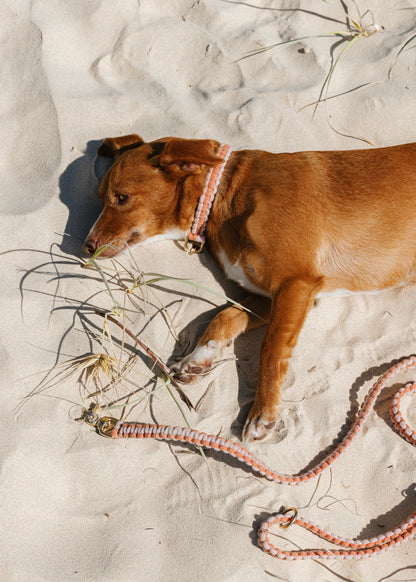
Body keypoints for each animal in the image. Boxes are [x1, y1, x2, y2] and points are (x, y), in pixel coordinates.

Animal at [83, 133, 416, 442]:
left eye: (122, 197)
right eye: (100, 197)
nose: (86, 246)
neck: (223, 195)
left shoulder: (295, 284)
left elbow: (270, 351)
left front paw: (263, 411)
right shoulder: (267, 296)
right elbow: (224, 317)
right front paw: (196, 359)